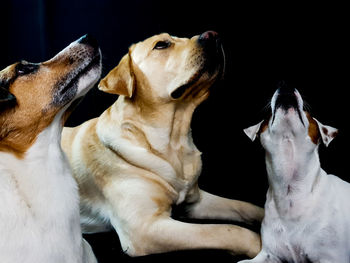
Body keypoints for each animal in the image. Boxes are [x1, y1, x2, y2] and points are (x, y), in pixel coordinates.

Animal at [61, 32, 262, 258]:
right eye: (161, 45)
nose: (213, 35)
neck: (172, 142)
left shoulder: (195, 201)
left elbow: (246, 207)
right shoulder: (144, 229)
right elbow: (225, 231)